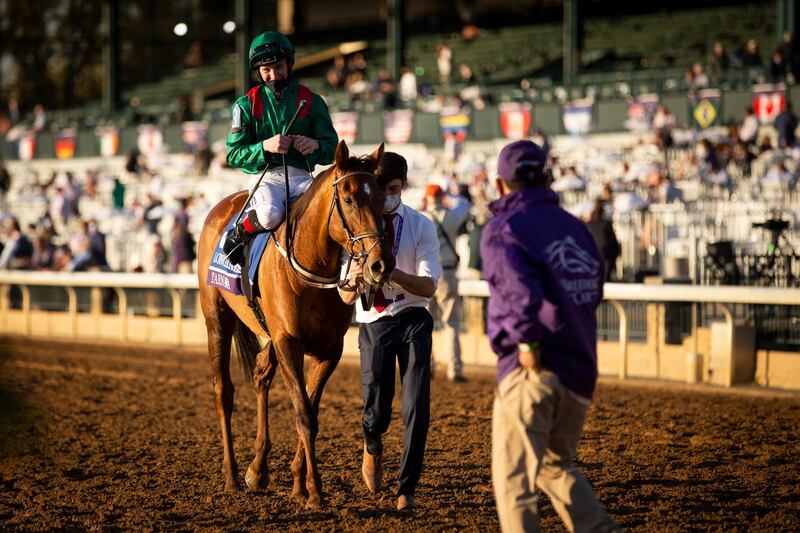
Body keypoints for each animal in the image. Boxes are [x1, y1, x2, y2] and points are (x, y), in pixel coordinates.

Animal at [195, 141, 392, 508]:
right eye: (348, 199)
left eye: (381, 199)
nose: (380, 264)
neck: (312, 267)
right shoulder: (289, 342)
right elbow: (302, 413)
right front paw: (314, 491)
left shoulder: (329, 349)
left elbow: (312, 412)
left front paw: (299, 483)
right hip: (217, 318)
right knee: (224, 391)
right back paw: (231, 475)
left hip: (268, 333)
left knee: (261, 375)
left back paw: (257, 469)